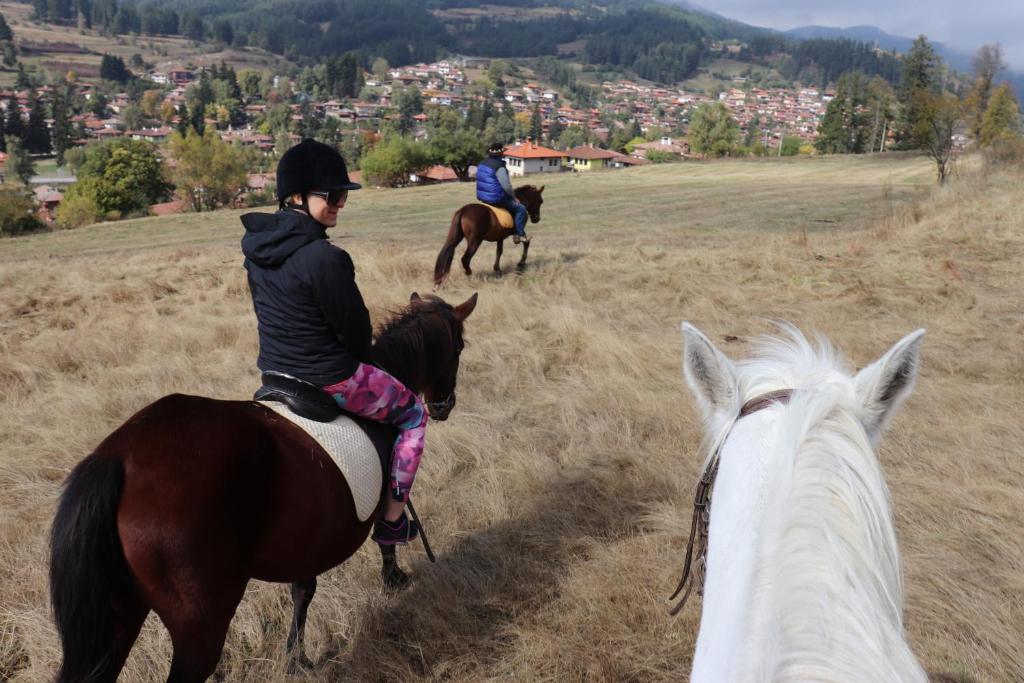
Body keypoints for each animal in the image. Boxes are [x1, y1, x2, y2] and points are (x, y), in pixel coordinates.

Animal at [48, 290, 479, 679]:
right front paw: (393, 577)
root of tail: (119, 457)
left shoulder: (308, 535)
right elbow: (386, 530)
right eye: (459, 347)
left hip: (118, 617)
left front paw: (296, 658)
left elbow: (303, 589)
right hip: (200, 625)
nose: (444, 406)